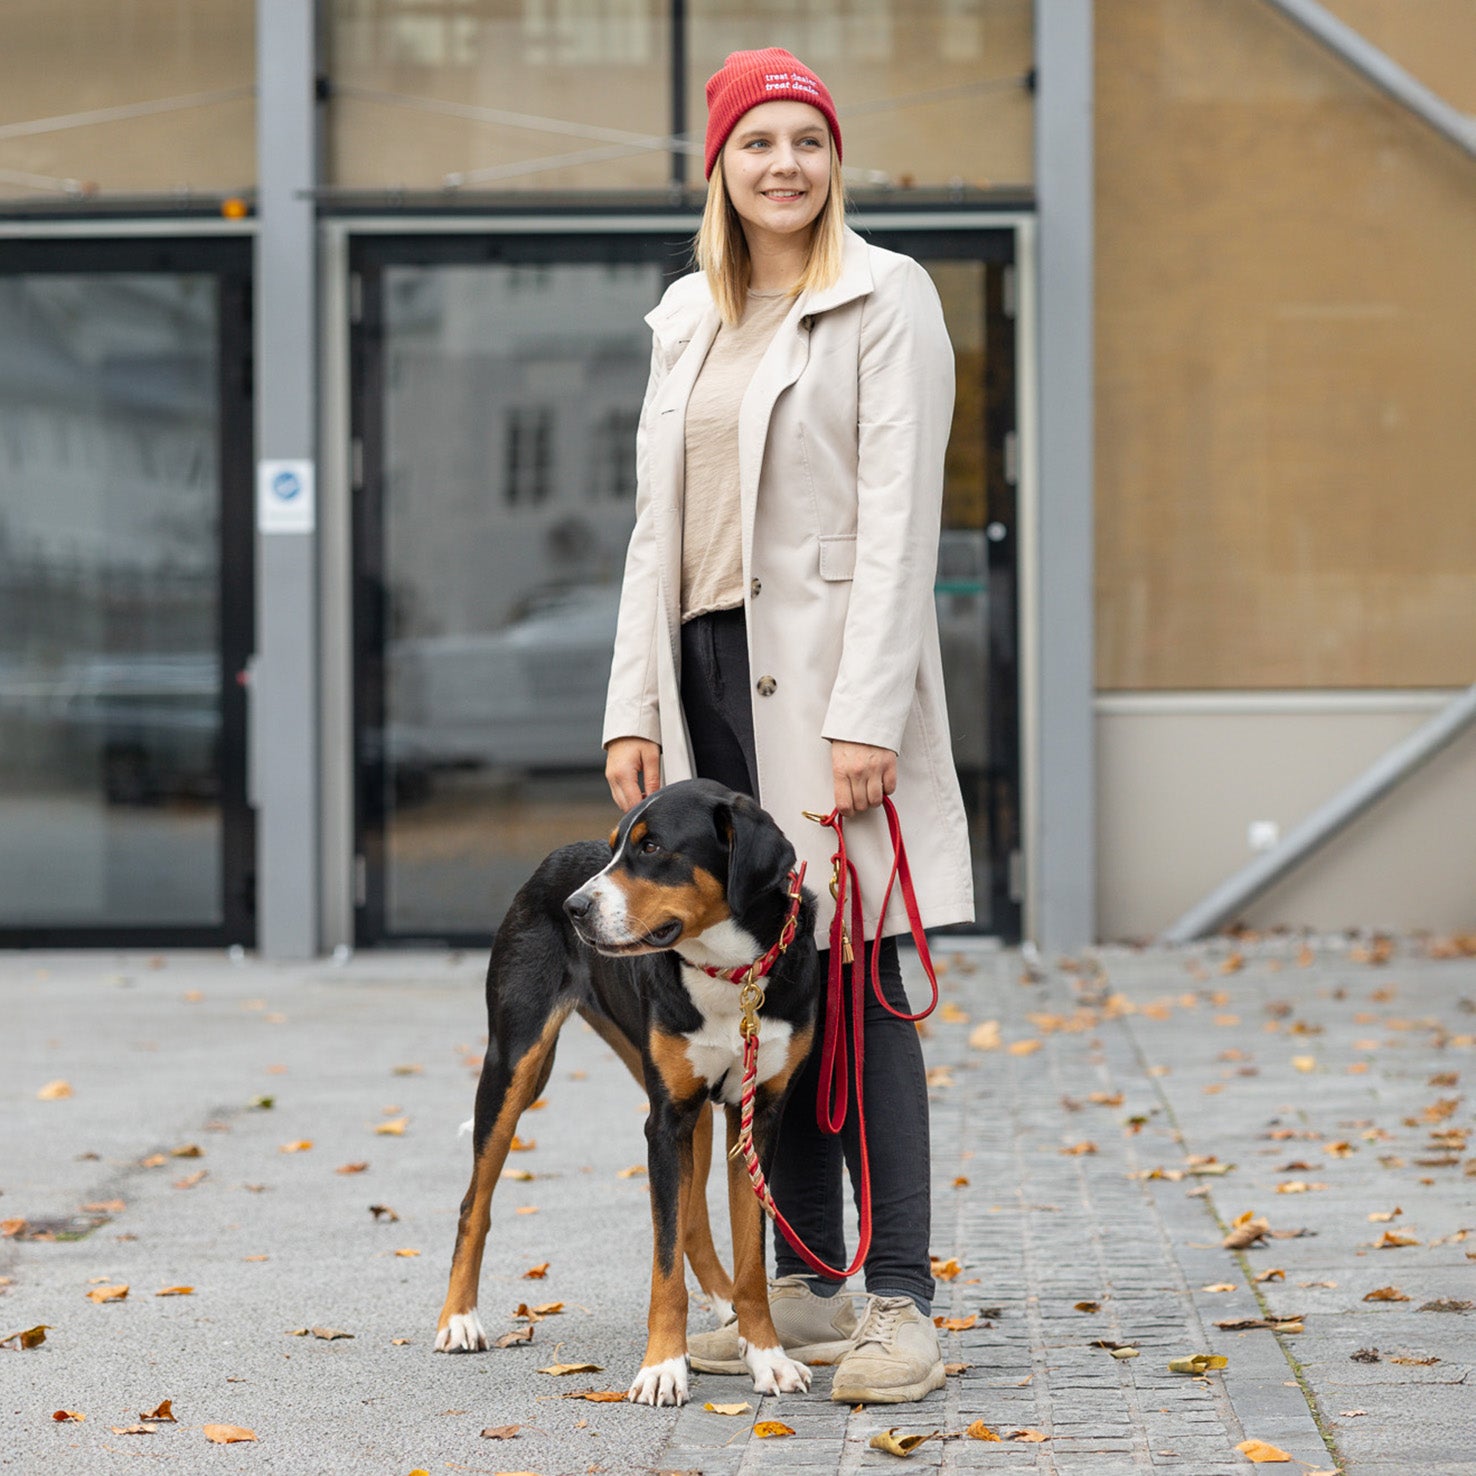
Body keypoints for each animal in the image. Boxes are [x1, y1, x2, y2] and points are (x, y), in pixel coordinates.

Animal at [430, 773, 826, 1405]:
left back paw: (723, 1307)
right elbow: (664, 1267)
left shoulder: (756, 1118)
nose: (575, 908)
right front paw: (663, 1366)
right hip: (513, 1066)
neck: (729, 976)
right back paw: (459, 1320)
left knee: (692, 1220)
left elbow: (749, 1260)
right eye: (618, 846)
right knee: (475, 1202)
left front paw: (767, 1356)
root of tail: (550, 862)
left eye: (652, 847)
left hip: (697, 1115)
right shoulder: (665, 1121)